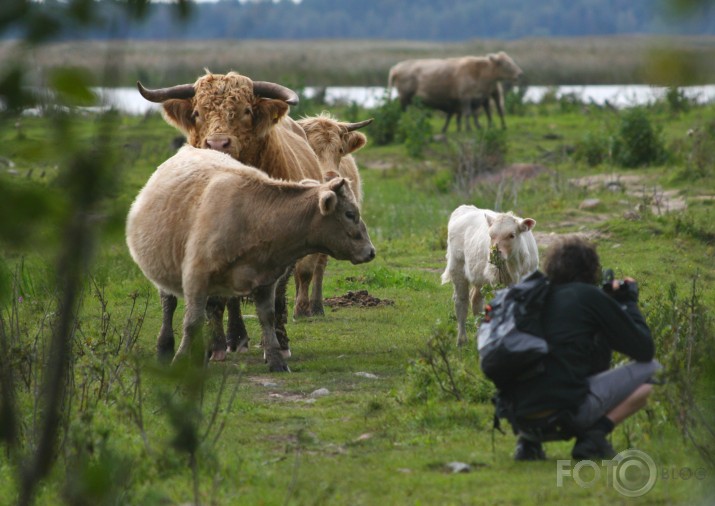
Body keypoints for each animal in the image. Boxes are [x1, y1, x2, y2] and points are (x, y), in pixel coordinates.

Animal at [126, 146, 378, 372]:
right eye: (350, 214)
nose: (370, 251)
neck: (254, 217)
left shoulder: (267, 280)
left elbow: (268, 317)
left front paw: (276, 360)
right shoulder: (195, 278)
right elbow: (191, 322)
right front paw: (180, 360)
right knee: (169, 306)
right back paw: (165, 347)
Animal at [294, 113, 374, 316]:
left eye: (339, 150)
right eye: (311, 150)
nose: (331, 177)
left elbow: (306, 268)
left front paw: (302, 307)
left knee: (319, 267)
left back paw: (316, 307)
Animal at [388, 52, 524, 133]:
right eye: (506, 64)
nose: (520, 74)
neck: (479, 74)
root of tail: (396, 68)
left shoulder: (477, 99)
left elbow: (472, 114)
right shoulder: (465, 97)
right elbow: (467, 114)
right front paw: (469, 129)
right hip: (404, 97)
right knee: (403, 112)